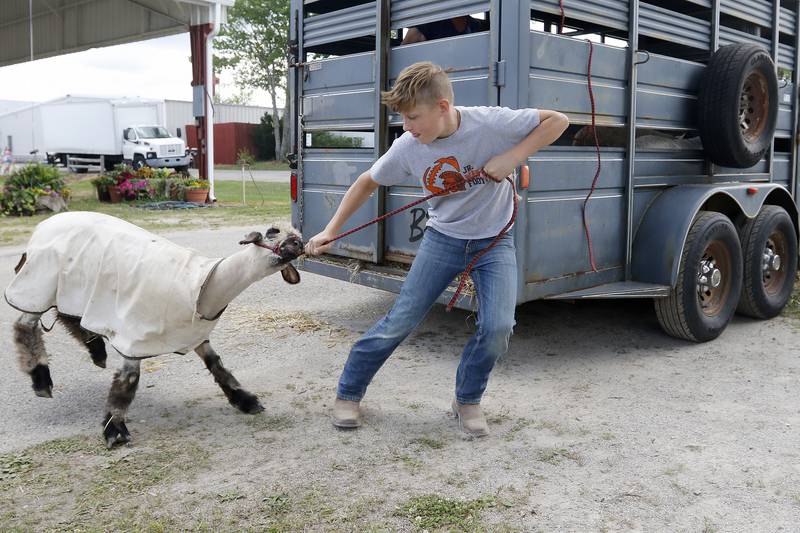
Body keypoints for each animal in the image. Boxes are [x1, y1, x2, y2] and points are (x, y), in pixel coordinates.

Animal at [5, 210, 304, 446]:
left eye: (297, 235)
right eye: (273, 231)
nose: (298, 243)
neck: (205, 287)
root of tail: (45, 224)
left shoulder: (193, 334)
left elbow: (217, 366)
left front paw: (245, 400)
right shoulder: (135, 336)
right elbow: (128, 380)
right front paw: (115, 429)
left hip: (71, 289)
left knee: (67, 316)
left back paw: (96, 350)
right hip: (39, 283)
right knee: (25, 326)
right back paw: (41, 378)